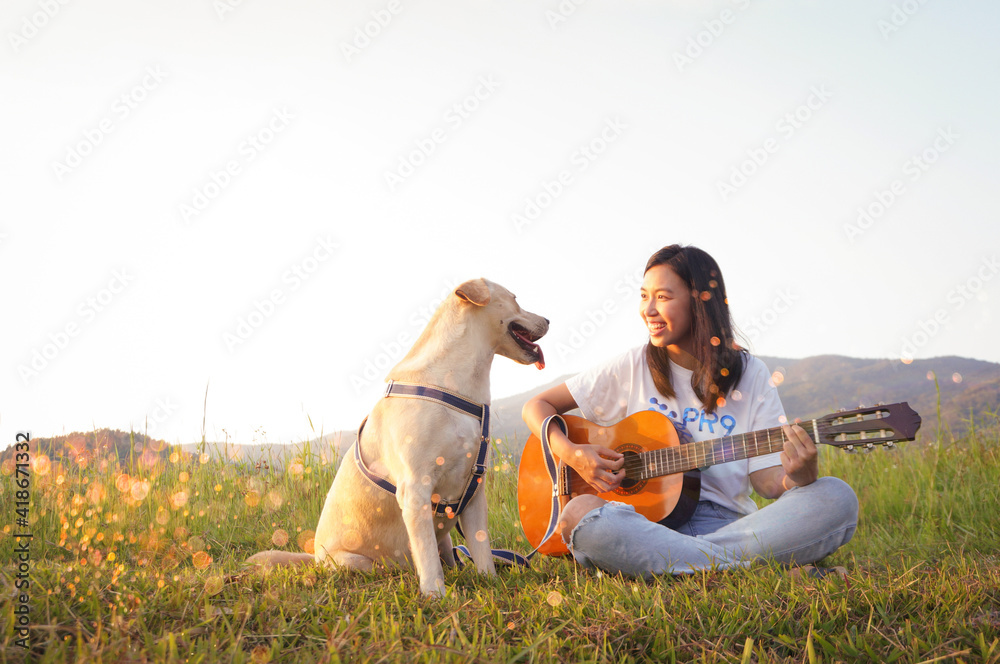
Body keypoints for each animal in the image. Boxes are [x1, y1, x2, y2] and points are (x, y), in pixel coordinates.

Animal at [248, 278, 548, 592]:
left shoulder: (475, 488)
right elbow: (427, 555)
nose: (549, 320)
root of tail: (314, 558)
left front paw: (489, 582)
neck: (456, 385)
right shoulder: (416, 488)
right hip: (356, 562)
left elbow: (481, 548)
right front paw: (435, 594)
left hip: (445, 536)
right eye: (515, 298)